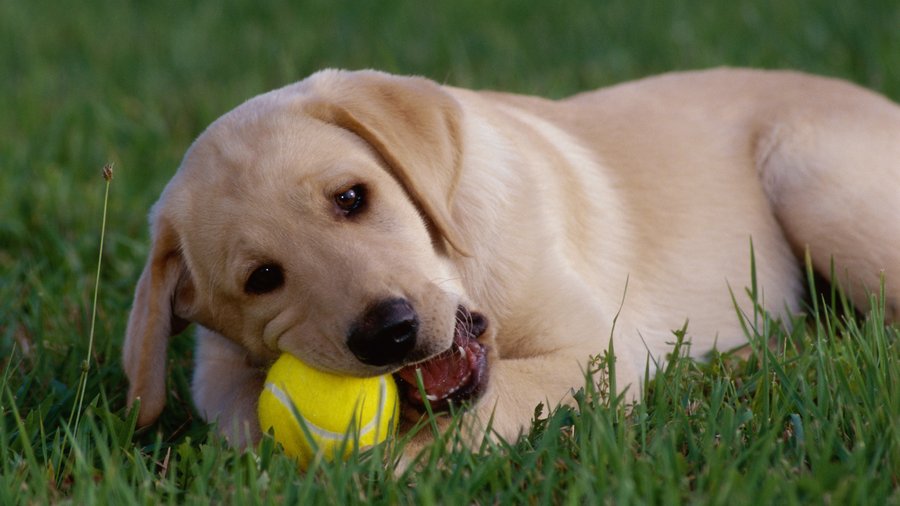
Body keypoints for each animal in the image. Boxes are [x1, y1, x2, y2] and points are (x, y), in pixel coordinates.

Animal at [121, 68, 900, 458]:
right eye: (262, 279)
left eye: (351, 198)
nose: (389, 333)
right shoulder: (219, 376)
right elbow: (248, 418)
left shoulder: (593, 348)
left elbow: (485, 409)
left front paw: (391, 467)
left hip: (817, 185)